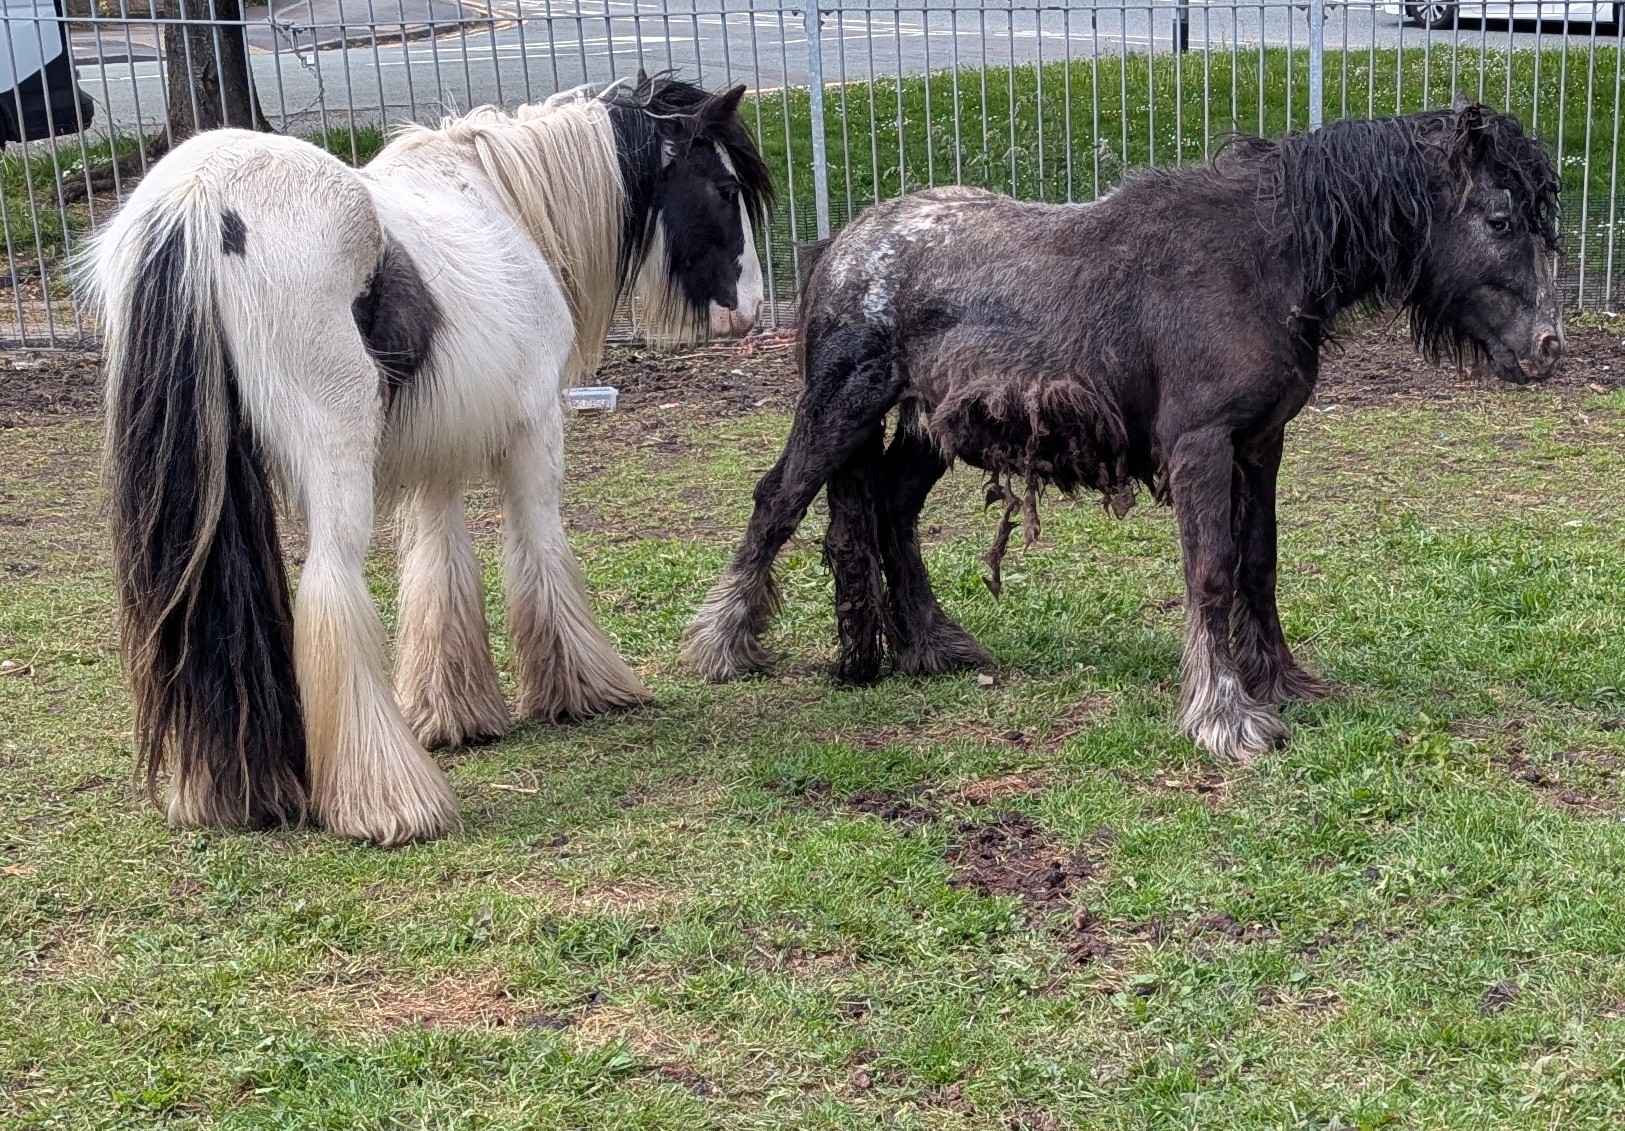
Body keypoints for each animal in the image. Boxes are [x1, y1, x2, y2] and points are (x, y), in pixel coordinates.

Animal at [83, 73, 774, 847]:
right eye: (723, 187)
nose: (750, 310)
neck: (504, 200)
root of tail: (197, 200)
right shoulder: (536, 429)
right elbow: (540, 548)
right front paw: (582, 687)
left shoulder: (436, 456)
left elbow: (440, 570)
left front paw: (455, 714)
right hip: (336, 461)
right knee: (330, 591)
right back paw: (387, 800)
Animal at [684, 103, 1561, 764]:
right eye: (1498, 217)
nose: (1546, 347)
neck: (1262, 258)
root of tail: (839, 245)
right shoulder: (1201, 443)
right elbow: (1210, 572)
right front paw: (1223, 715)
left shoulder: (1260, 444)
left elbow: (1259, 565)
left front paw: (1278, 681)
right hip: (841, 408)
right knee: (778, 503)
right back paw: (724, 645)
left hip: (926, 429)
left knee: (890, 515)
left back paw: (931, 645)